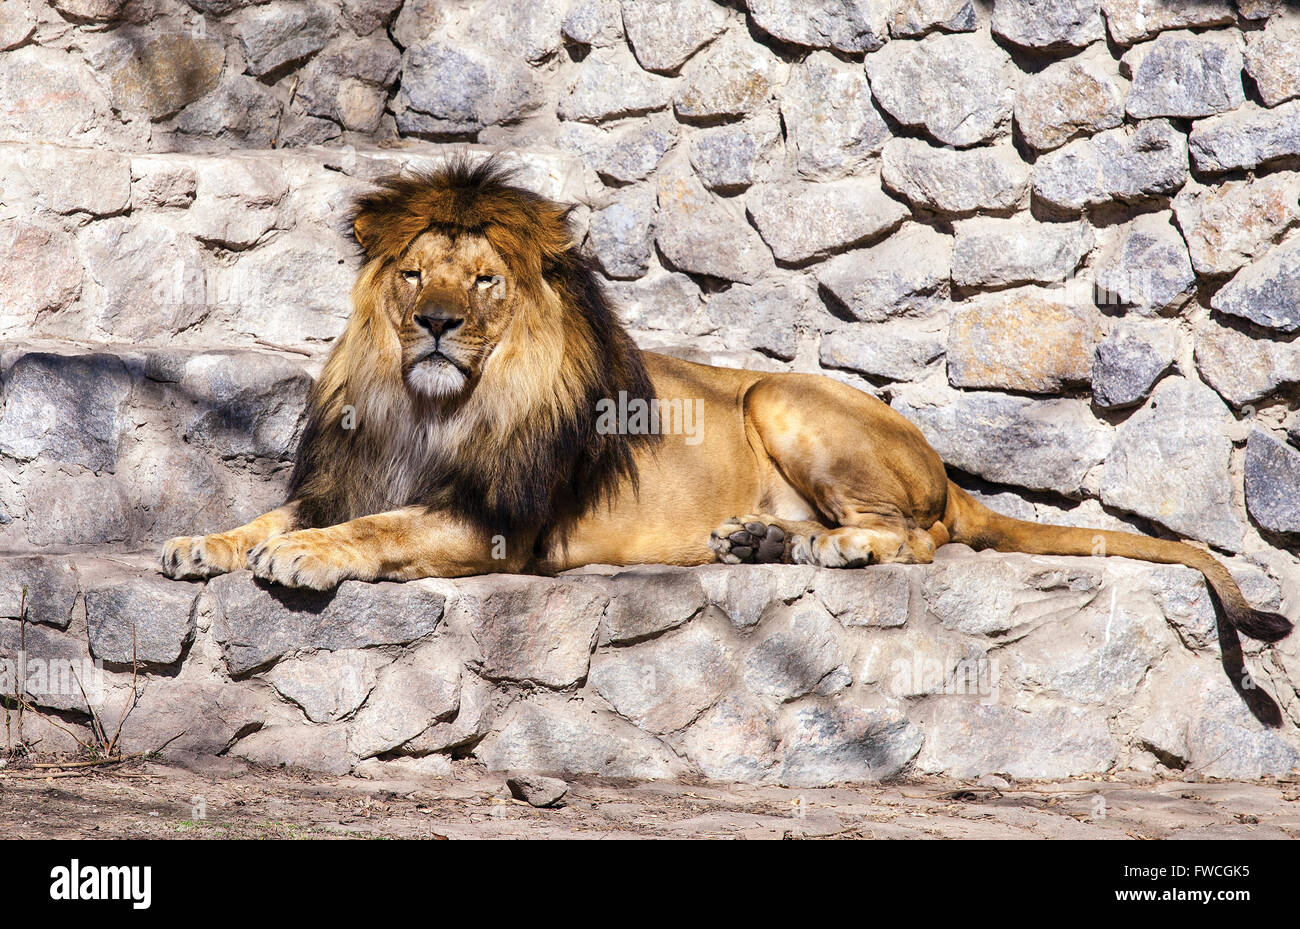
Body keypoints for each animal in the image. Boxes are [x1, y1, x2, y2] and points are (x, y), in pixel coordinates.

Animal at [160, 157, 1292, 647]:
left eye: (481, 282)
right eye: (412, 277)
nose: (435, 322)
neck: (428, 403)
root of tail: (944, 466)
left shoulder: (495, 523)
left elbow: (380, 528)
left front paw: (308, 557)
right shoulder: (353, 471)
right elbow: (278, 510)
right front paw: (202, 541)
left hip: (787, 401)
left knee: (918, 538)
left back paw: (831, 545)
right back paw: (761, 540)